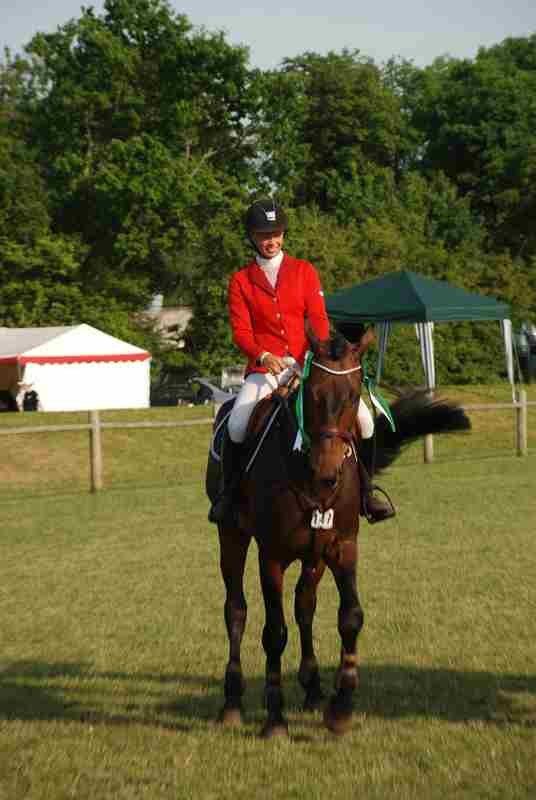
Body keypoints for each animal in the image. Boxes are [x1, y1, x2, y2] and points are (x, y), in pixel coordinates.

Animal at [205, 326, 468, 736]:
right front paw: (275, 719)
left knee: (305, 608)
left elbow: (350, 617)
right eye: (312, 394)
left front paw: (340, 708)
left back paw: (313, 690)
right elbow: (274, 632)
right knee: (236, 610)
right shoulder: (271, 556)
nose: (327, 472)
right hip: (232, 537)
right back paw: (232, 702)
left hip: (314, 557)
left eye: (354, 396)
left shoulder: (342, 547)